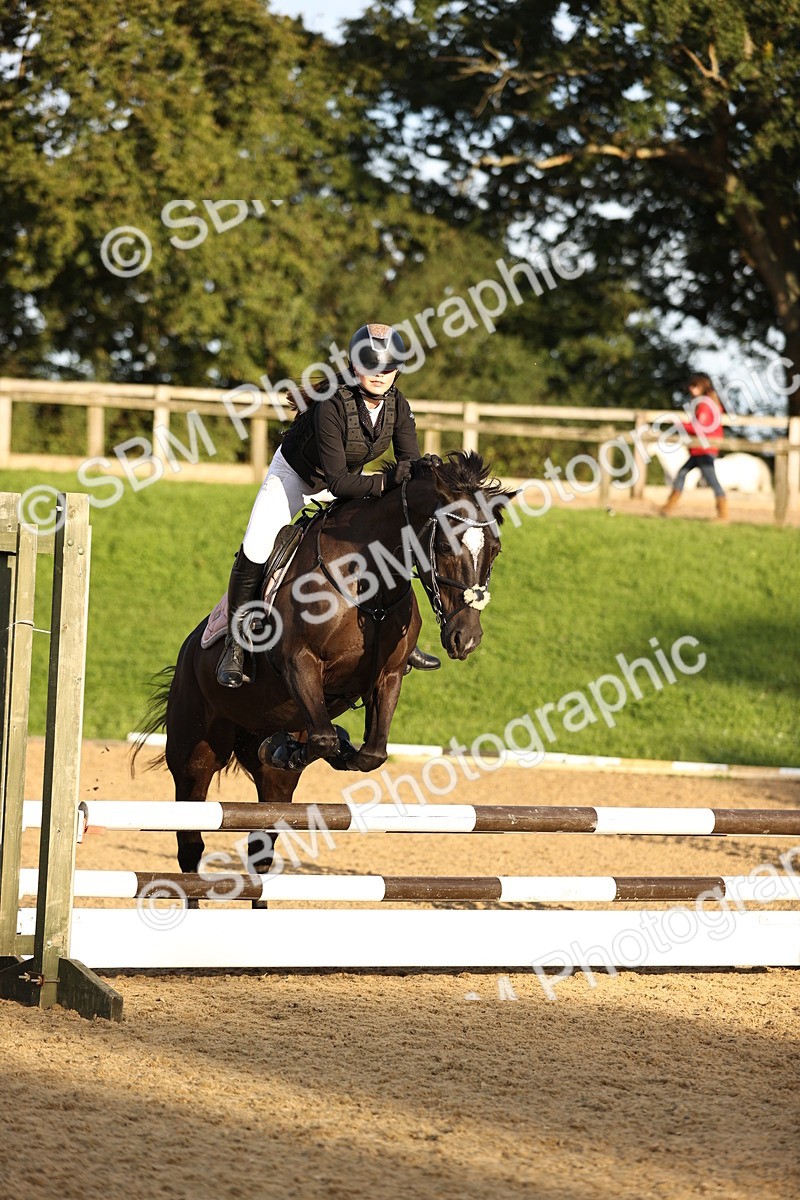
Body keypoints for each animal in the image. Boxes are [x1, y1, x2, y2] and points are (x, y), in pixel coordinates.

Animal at [135, 452, 514, 886]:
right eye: (446, 544)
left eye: (495, 550)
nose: (465, 638)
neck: (368, 580)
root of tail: (186, 652)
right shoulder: (299, 663)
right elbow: (322, 738)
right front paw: (302, 747)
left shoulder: (388, 676)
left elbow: (372, 752)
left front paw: (325, 747)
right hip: (194, 756)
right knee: (191, 847)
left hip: (272, 782)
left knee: (260, 852)